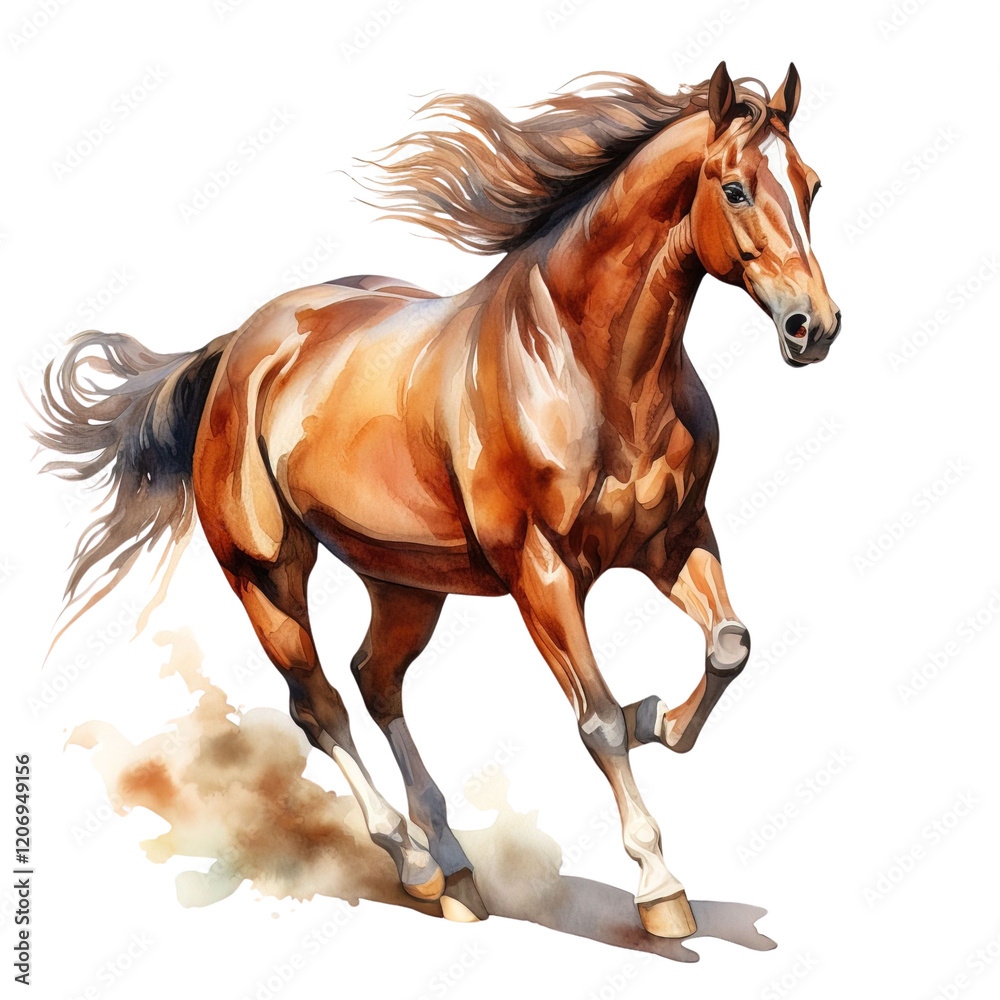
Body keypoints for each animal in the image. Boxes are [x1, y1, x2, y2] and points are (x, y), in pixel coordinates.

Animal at [35, 61, 840, 938]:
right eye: (735, 189)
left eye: (812, 184)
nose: (814, 327)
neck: (589, 371)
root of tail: (236, 348)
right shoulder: (541, 572)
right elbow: (595, 719)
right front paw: (660, 886)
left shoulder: (675, 539)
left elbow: (729, 645)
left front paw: (654, 715)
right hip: (265, 572)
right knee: (320, 703)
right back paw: (415, 860)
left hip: (405, 581)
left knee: (375, 678)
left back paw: (455, 869)